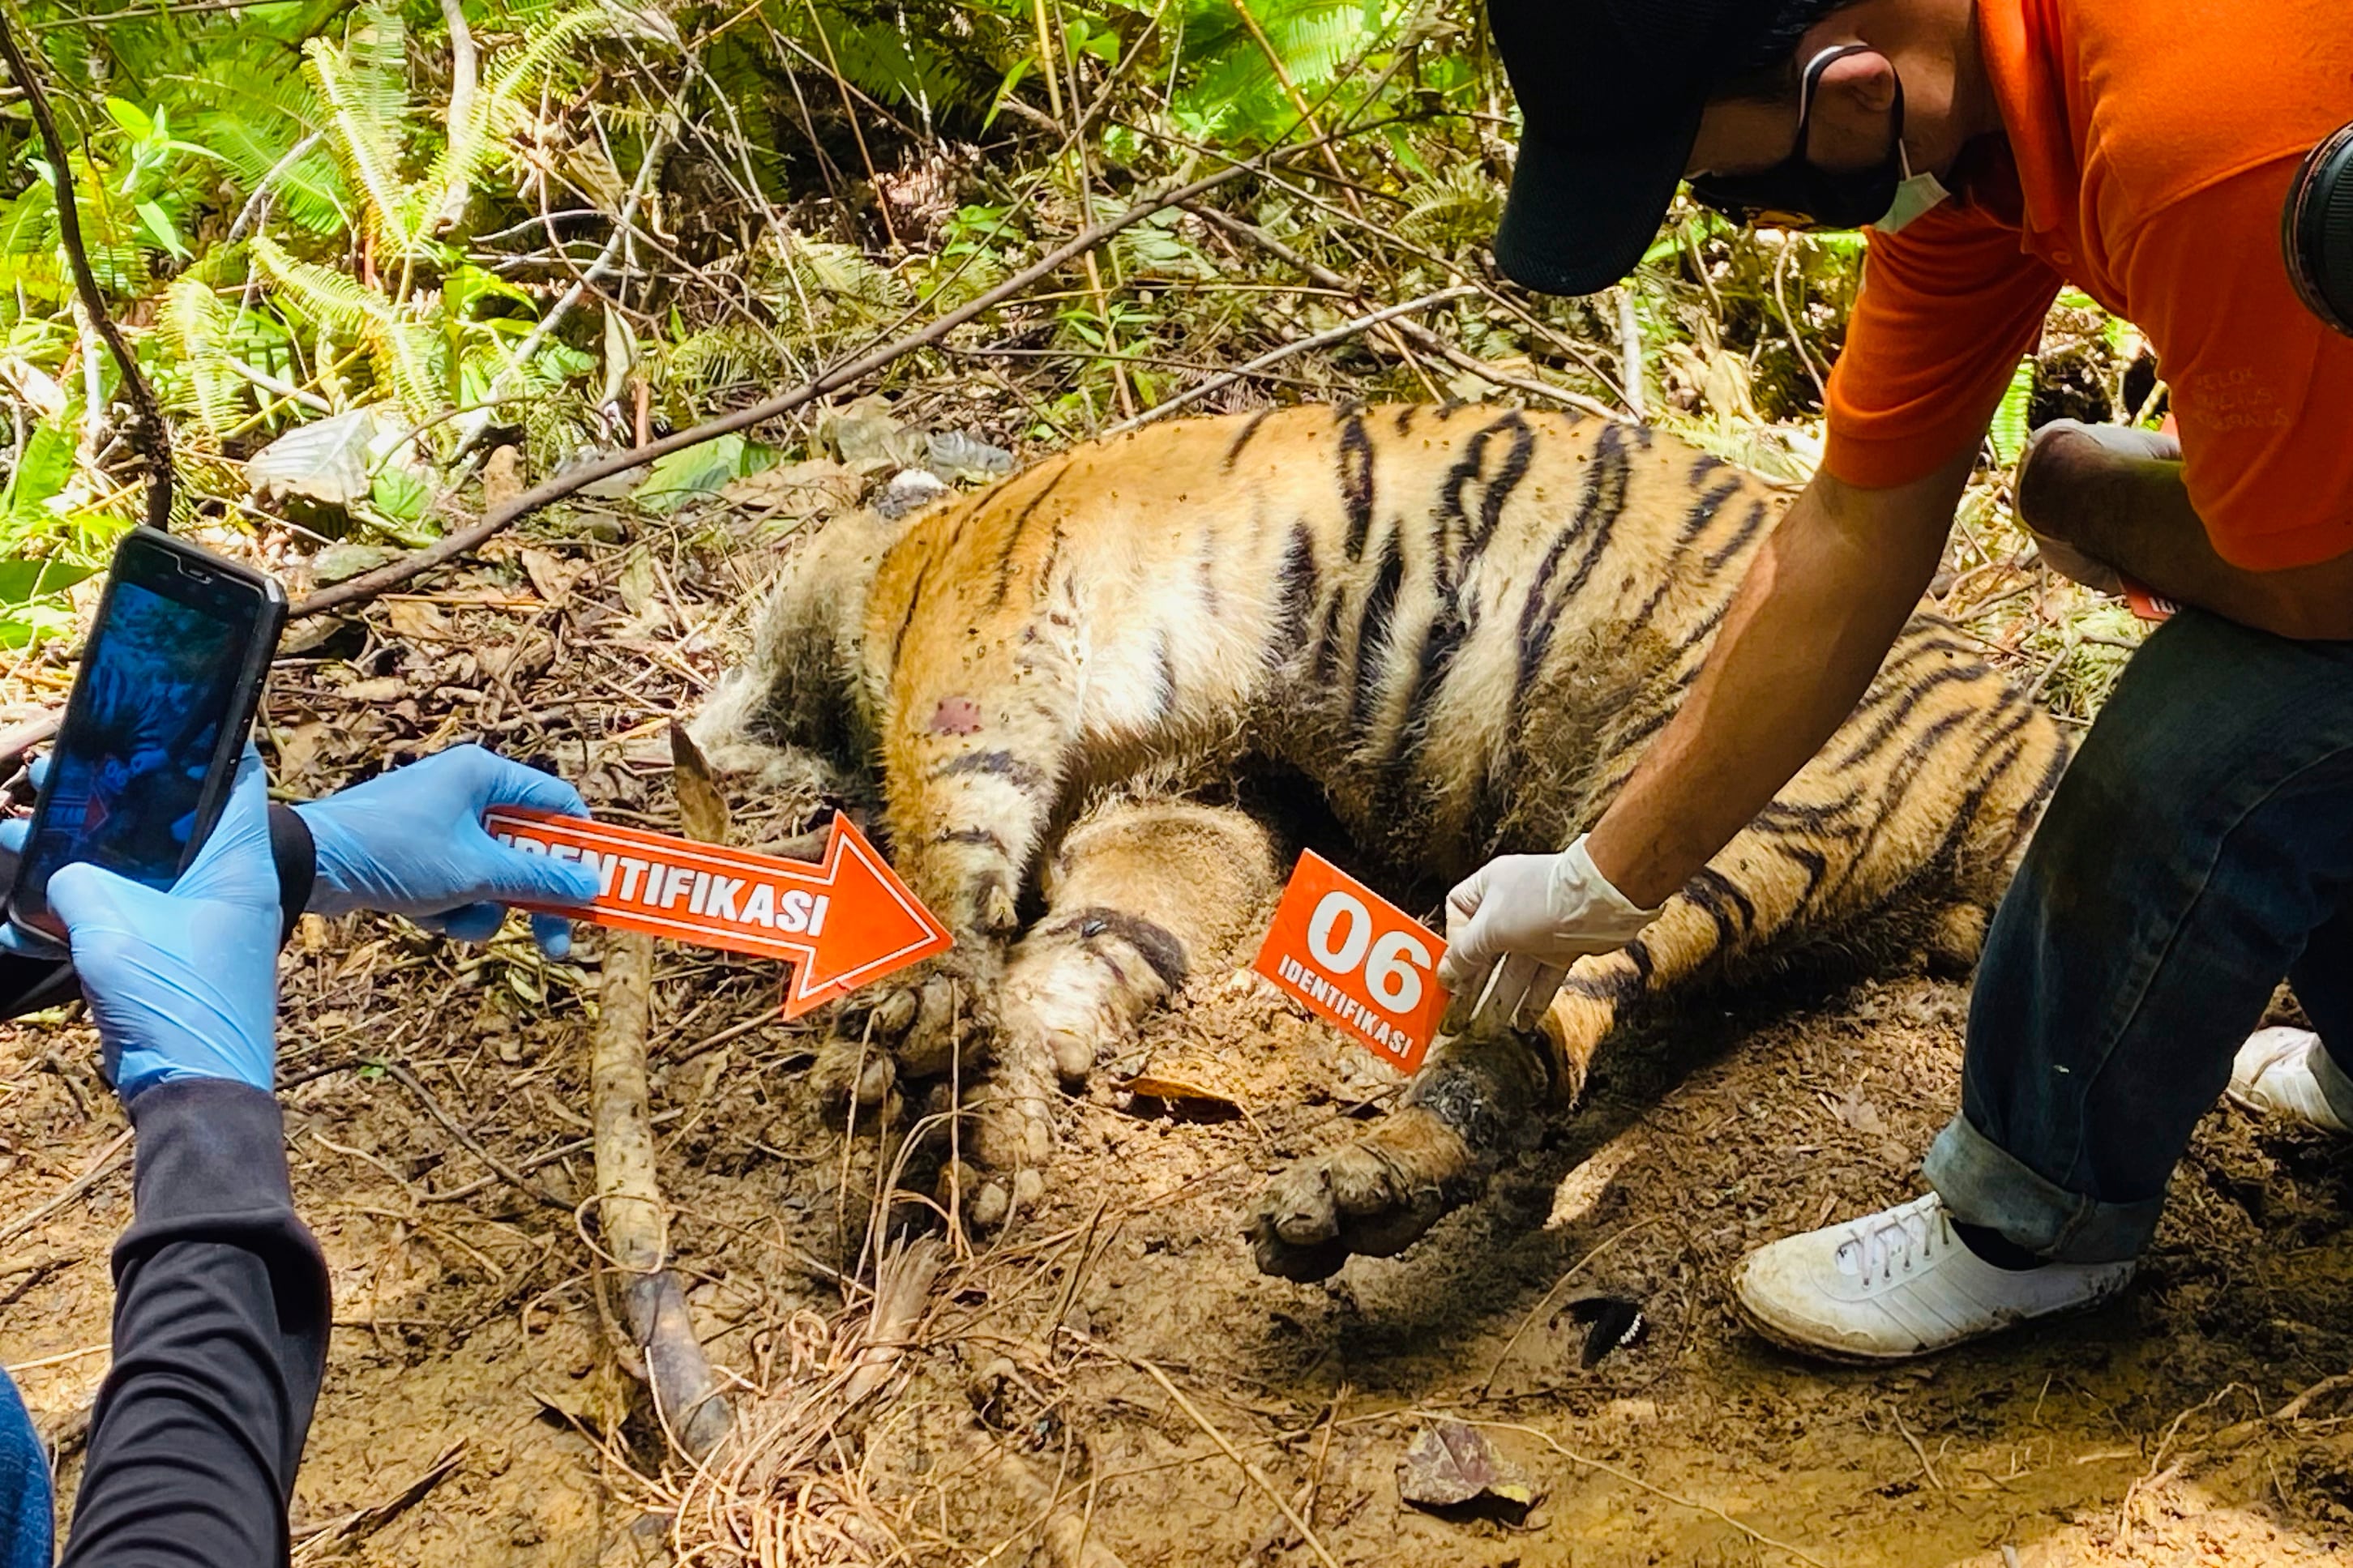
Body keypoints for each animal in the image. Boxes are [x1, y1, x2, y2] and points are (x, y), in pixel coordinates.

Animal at [687, 402, 2070, 1279]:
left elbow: (950, 844)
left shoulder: (990, 635)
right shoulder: (1191, 812)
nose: (712, 724)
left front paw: (904, 1028)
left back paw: (1355, 1192)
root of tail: (2033, 739)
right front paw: (986, 1120)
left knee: (1537, 1039)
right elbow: (1083, 949)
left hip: (1709, 799)